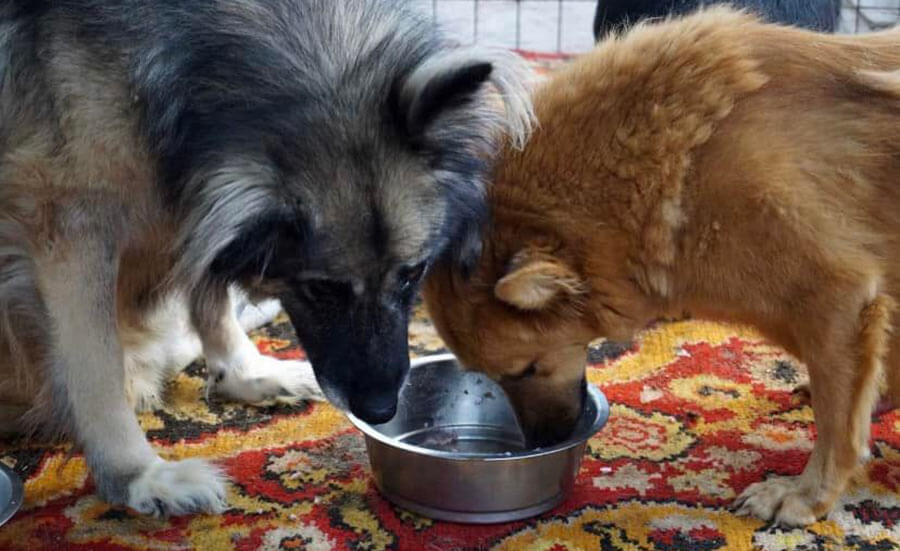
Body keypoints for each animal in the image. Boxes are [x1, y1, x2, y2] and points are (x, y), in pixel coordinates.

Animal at [0, 0, 536, 516]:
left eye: (413, 273)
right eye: (320, 287)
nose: (381, 409)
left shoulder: (195, 196)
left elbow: (210, 294)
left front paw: (246, 371)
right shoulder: (71, 227)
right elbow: (98, 365)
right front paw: (137, 476)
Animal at [426, 8, 900, 528]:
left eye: (527, 369)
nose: (543, 444)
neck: (685, 159)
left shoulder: (839, 297)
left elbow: (838, 420)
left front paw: (807, 494)